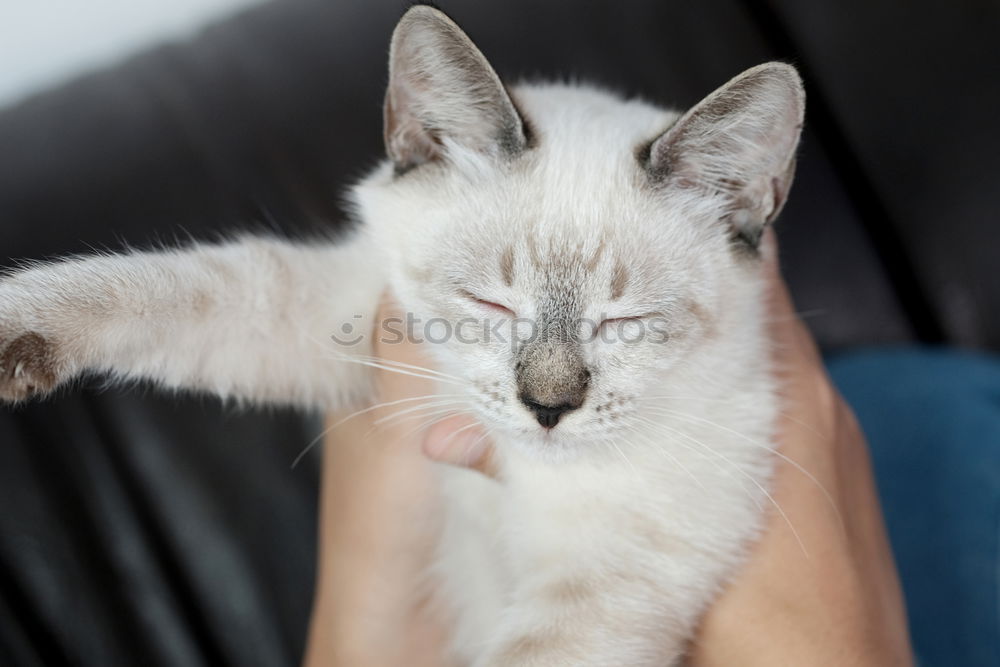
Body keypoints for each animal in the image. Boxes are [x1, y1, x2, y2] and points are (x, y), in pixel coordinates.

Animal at [0, 6, 804, 667]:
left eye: (624, 322)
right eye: (490, 303)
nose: (548, 408)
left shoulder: (605, 584)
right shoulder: (347, 317)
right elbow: (180, 286)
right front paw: (14, 329)